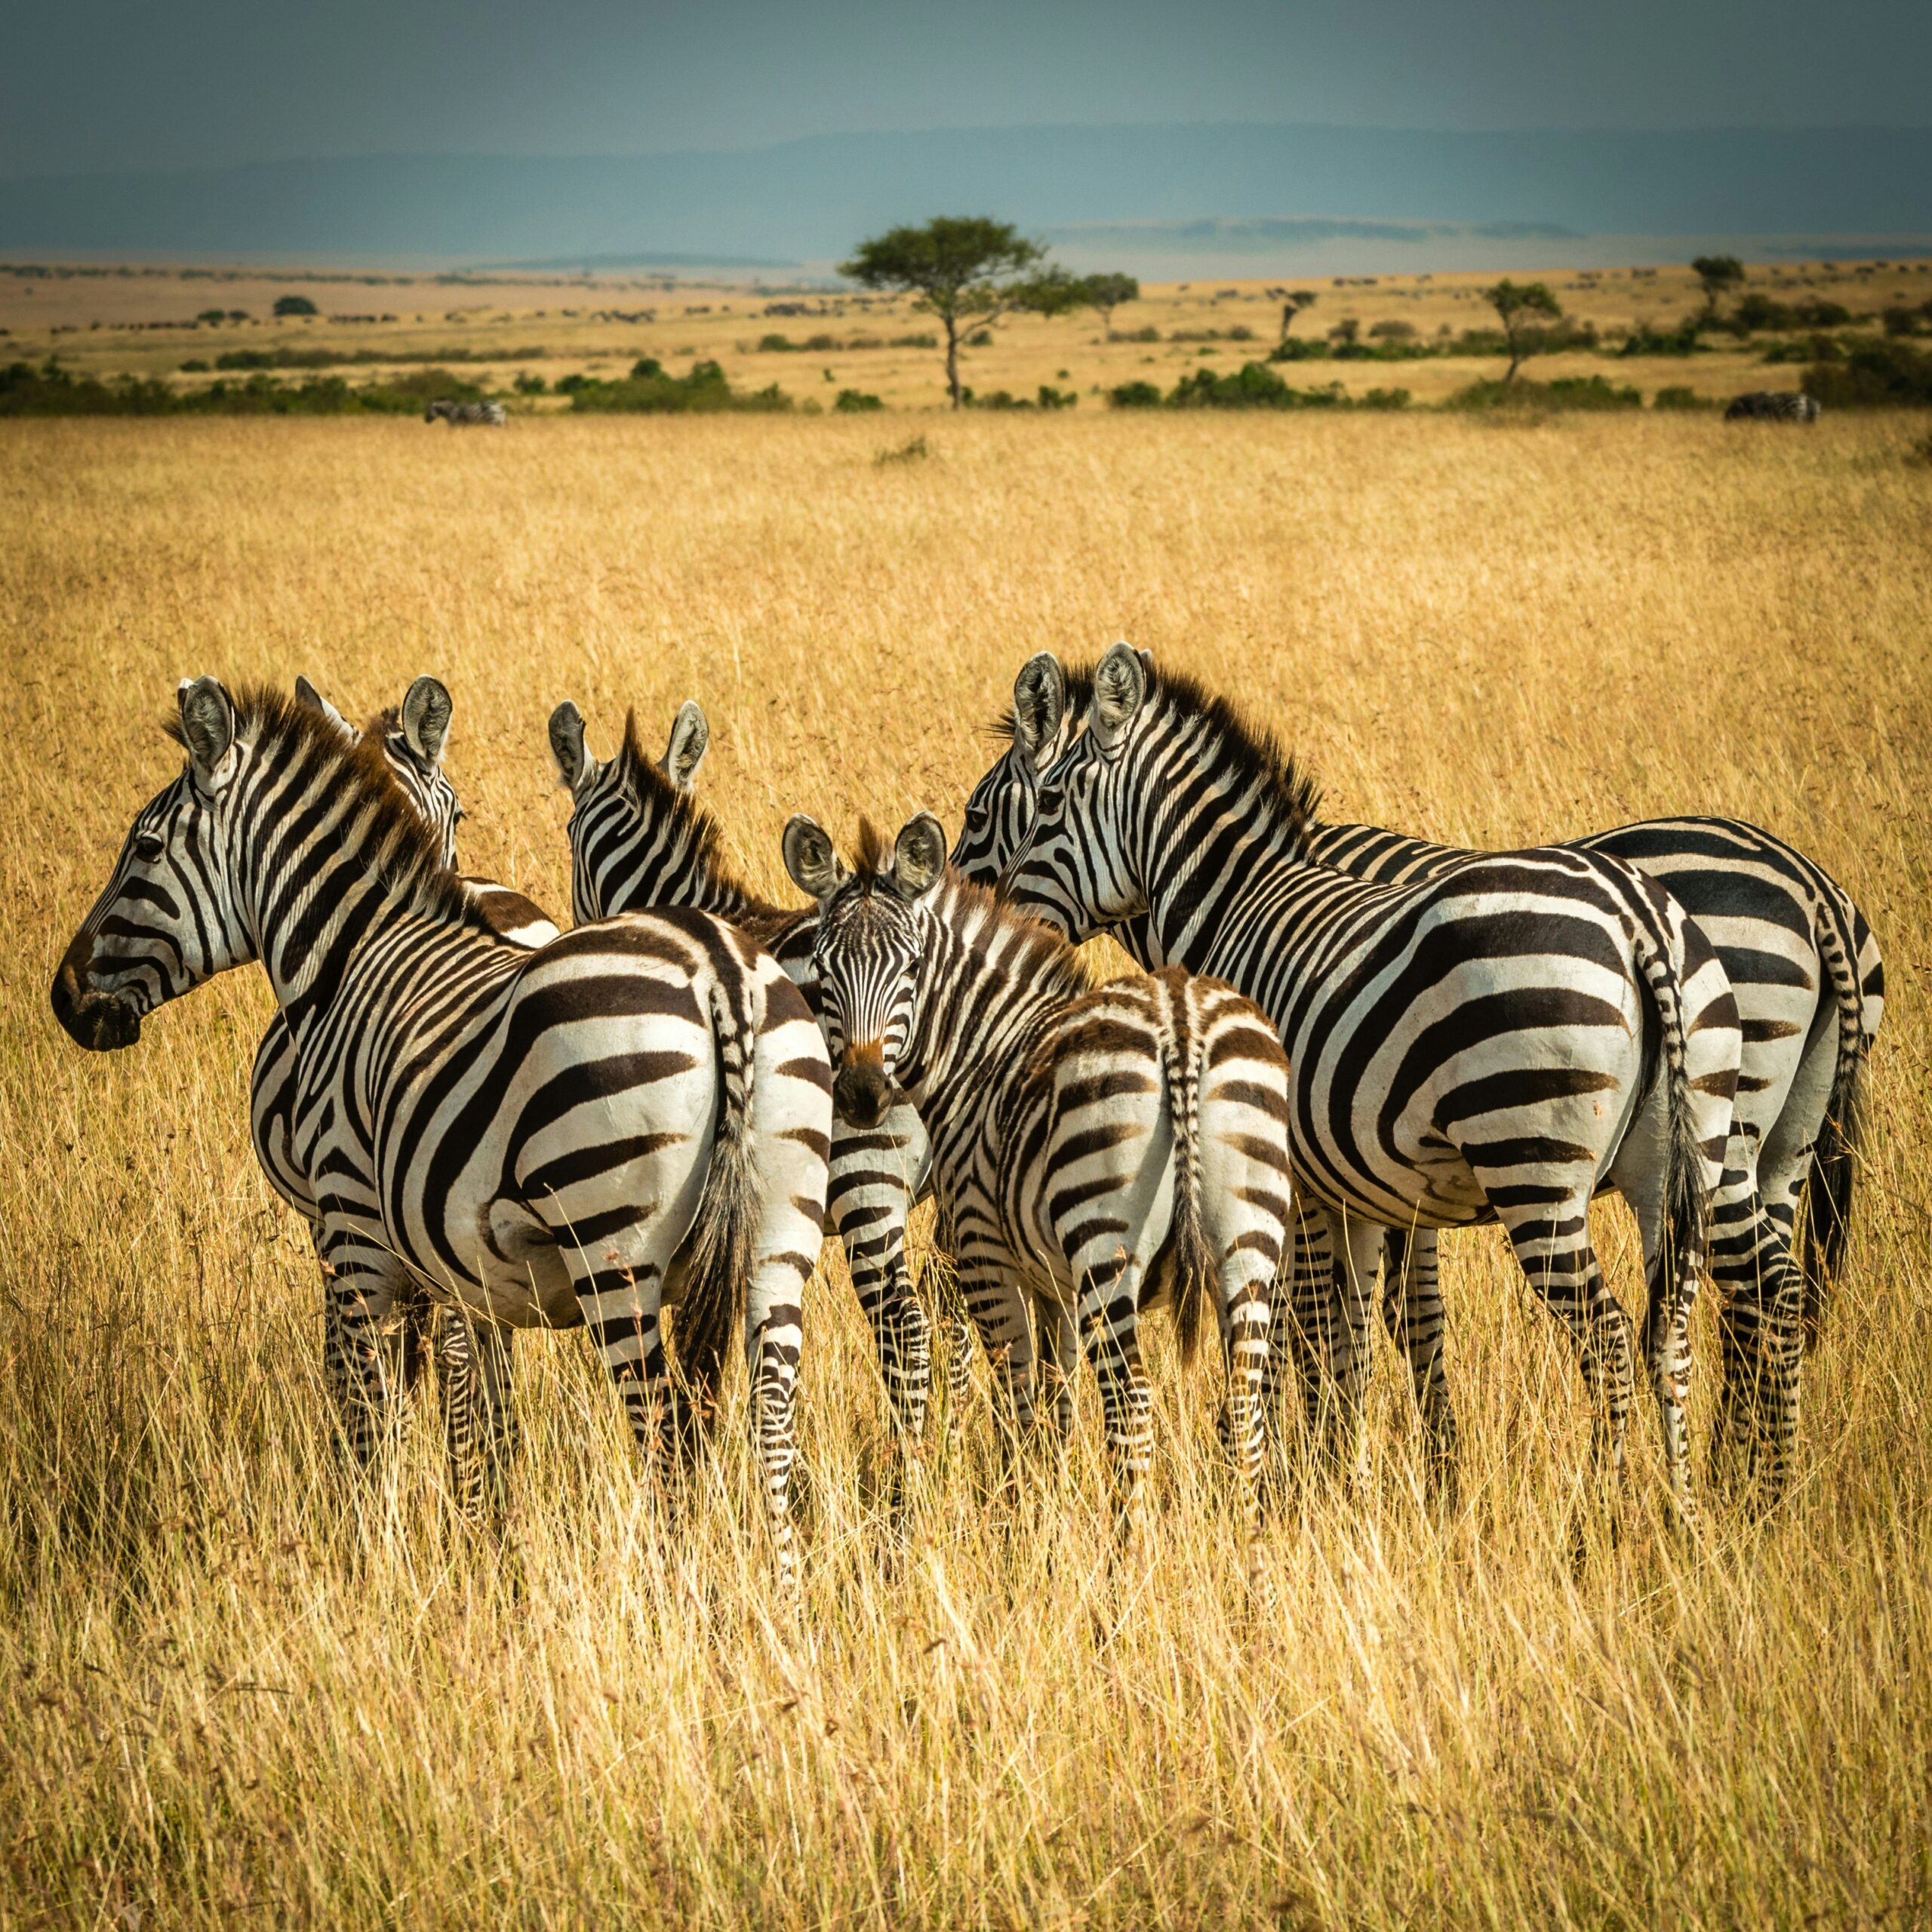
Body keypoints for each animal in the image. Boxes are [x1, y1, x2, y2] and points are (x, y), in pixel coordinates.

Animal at [52, 679, 831, 1581]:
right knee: (770, 1421)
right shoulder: (465, 1265)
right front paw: (489, 1544)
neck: (350, 954)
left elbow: (370, 1405)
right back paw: (781, 1592)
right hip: (776, 1241)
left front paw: (369, 1552)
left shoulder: (352, 1224)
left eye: (142, 847)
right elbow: (479, 1407)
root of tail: (721, 975)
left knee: (664, 1429)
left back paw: (676, 1589)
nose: (64, 999)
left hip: (616, 1247)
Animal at [782, 812, 1293, 1549]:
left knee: (1133, 1408)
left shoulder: (986, 1256)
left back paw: (1125, 1565)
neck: (982, 1047)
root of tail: (1180, 1019)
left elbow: (1020, 1404)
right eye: (822, 972)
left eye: (911, 967)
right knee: (1245, 1410)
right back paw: (1250, 1564)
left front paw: (1018, 1527)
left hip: (1106, 1245)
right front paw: (1044, 1513)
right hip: (1248, 1243)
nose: (861, 1094)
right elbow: (1058, 1404)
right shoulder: (1053, 1282)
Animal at [970, 651, 1877, 1490]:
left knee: (1634, 1328)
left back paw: (1632, 1507)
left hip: (1539, 1157)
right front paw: (1381, 1469)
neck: (1238, 901)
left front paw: (1304, 1471)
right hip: (1732, 1149)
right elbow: (1385, 1321)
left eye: (1005, 811)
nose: (980, 913)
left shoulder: (1300, 1174)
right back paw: (1719, 1499)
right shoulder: (1379, 1183)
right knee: (1729, 1310)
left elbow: (1313, 1320)